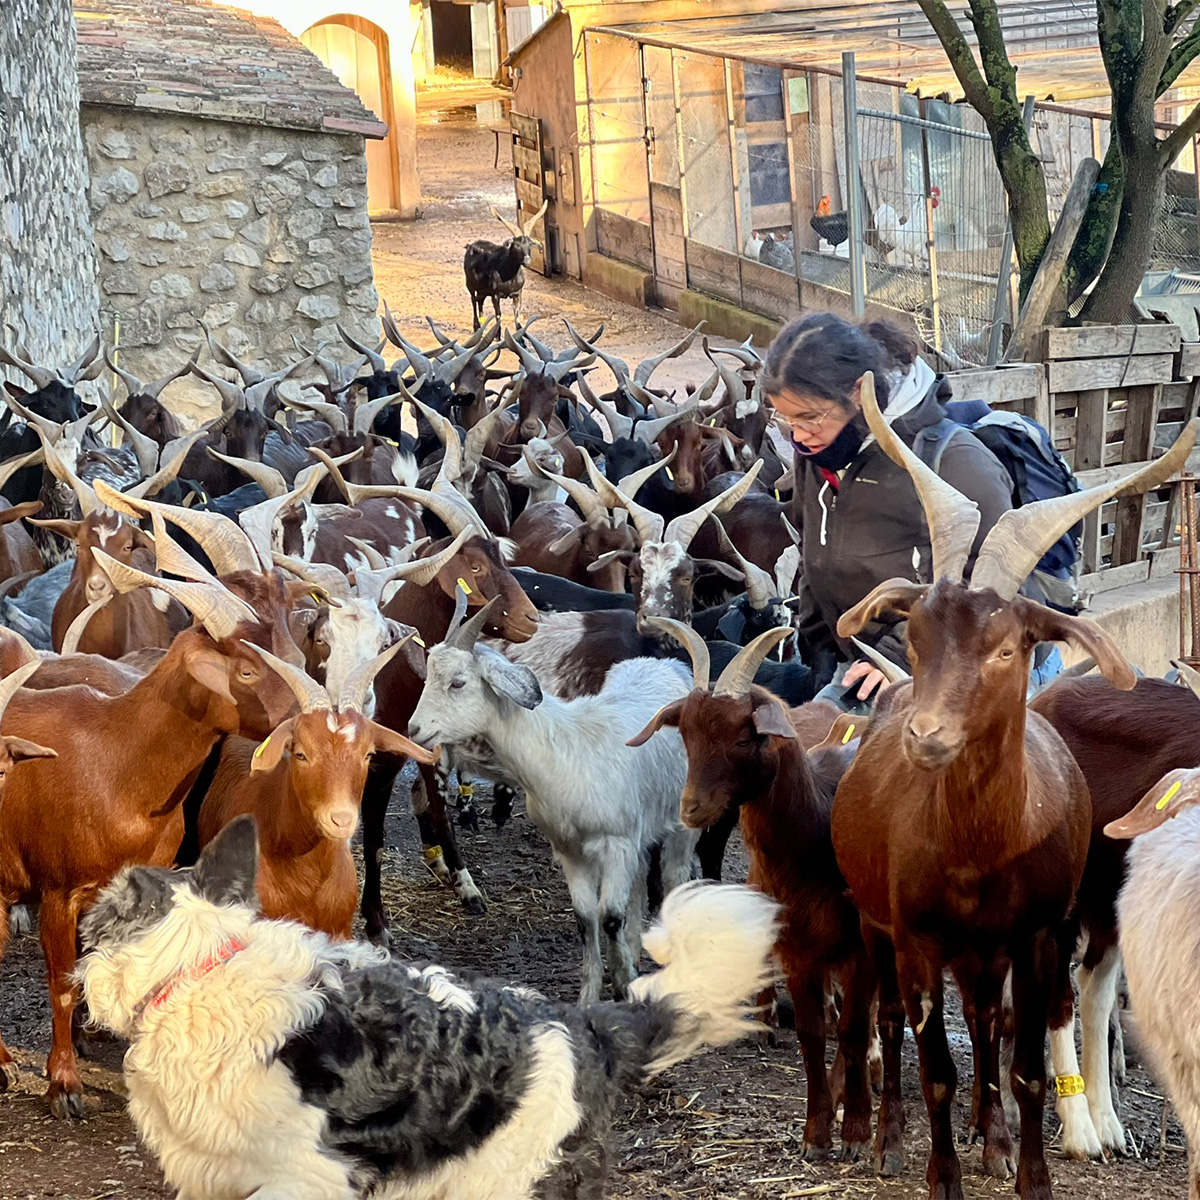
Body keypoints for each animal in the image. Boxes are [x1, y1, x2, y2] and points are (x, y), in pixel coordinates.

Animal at [410, 597, 700, 1003]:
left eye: (457, 682)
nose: (413, 729)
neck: (563, 749)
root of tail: (668, 665)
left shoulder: (616, 843)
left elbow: (610, 916)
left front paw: (622, 985)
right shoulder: (571, 849)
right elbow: (586, 918)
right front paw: (593, 993)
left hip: (680, 821)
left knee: (674, 876)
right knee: (641, 883)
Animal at [830, 376, 1195, 1200]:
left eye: (1005, 649)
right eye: (916, 636)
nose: (924, 735)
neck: (981, 851)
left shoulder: (1036, 936)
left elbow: (1026, 1065)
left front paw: (1028, 1173)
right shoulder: (918, 937)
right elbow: (933, 1066)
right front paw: (943, 1176)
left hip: (992, 951)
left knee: (988, 1024)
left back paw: (992, 1136)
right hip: (878, 924)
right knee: (889, 1016)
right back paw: (886, 1136)